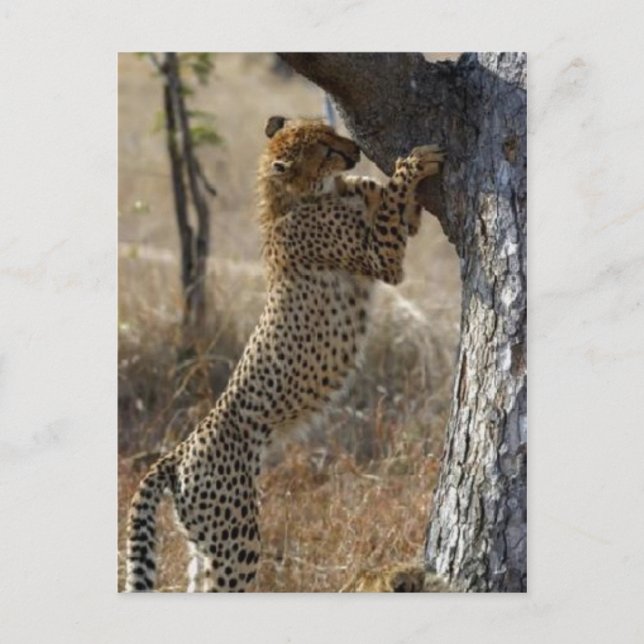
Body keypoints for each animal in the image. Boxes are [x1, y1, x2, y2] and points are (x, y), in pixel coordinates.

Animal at [125, 115, 445, 592]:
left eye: (332, 133)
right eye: (326, 148)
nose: (354, 149)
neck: (298, 197)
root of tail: (176, 453)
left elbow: (387, 202)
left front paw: (378, 180)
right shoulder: (382, 259)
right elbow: (391, 207)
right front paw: (412, 164)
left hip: (202, 547)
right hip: (234, 541)